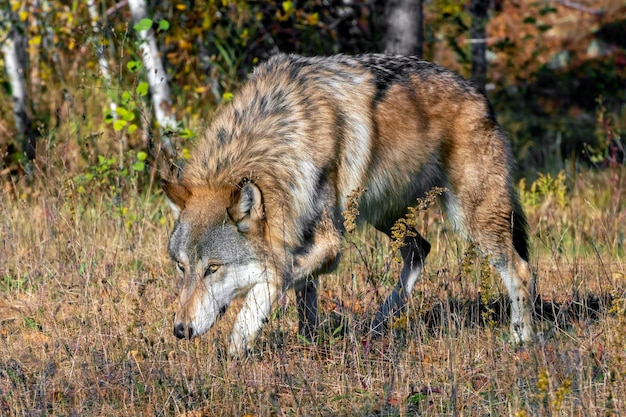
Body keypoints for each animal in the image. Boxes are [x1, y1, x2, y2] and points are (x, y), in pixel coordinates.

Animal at [161, 53, 532, 356]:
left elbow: (274, 277)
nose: (180, 330)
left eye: (213, 268)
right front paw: (309, 342)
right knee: (420, 250)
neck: (276, 138)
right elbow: (304, 295)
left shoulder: (328, 243)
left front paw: (241, 338)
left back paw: (522, 337)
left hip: (470, 219)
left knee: (520, 269)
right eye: (181, 267)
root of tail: (481, 95)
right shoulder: (302, 232)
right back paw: (378, 325)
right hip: (386, 216)